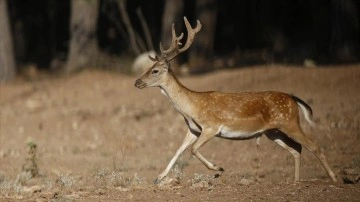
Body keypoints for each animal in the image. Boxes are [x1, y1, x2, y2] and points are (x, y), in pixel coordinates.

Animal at [134, 17, 338, 185]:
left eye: (155, 70)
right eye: (149, 67)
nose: (137, 82)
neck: (191, 108)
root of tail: (293, 98)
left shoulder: (212, 126)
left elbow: (193, 149)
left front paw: (218, 168)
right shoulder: (193, 129)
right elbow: (179, 150)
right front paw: (158, 177)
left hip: (290, 122)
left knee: (314, 145)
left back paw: (335, 179)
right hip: (273, 131)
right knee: (297, 148)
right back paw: (295, 181)